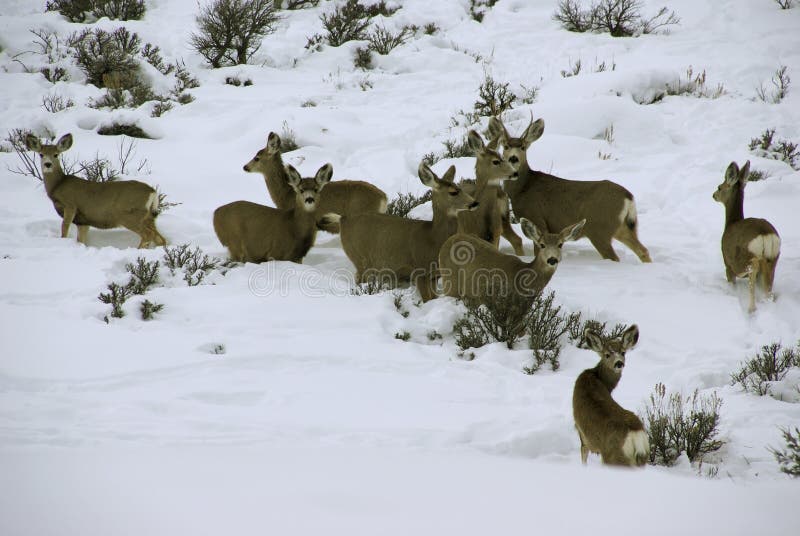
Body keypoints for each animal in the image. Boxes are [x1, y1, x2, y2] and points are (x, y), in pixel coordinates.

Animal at [24, 133, 166, 248]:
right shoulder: (83, 221)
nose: (47, 164)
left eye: (56, 154)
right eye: (41, 154)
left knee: (148, 235)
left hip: (130, 215)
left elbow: (64, 228)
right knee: (160, 238)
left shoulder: (70, 205)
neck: (58, 185)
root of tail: (153, 192)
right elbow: (81, 240)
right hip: (148, 216)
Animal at [333, 162, 478, 301]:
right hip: (359, 257)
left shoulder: (434, 275)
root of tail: (343, 219)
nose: (475, 203)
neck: (432, 238)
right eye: (453, 192)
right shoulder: (419, 270)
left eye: (461, 188)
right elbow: (427, 300)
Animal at [488, 116, 651, 263]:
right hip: (622, 227)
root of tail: (628, 197)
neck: (523, 188)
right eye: (506, 146)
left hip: (600, 229)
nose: (513, 158)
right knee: (643, 250)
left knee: (614, 257)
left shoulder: (537, 218)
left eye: (523, 147)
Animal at [572, 324, 649, 467]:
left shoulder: (581, 432)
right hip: (642, 458)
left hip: (614, 457)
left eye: (623, 352)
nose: (619, 363)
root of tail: (636, 436)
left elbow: (584, 454)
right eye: (607, 355)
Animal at [712, 160, 780, 313]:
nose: (713, 195)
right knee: (769, 290)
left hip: (747, 257)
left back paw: (751, 309)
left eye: (720, 187)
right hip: (774, 258)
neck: (731, 223)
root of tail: (766, 235)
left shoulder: (728, 264)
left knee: (753, 273)